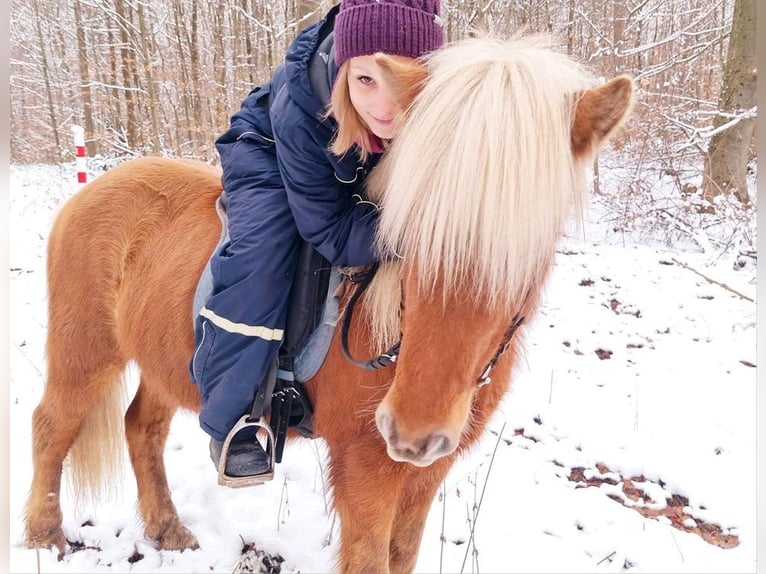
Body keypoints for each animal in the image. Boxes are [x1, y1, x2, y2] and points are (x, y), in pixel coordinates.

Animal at [24, 34, 633, 573]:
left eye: (531, 249)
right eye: (408, 234)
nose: (411, 432)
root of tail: (89, 190)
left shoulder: (426, 473)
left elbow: (401, 556)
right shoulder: (365, 469)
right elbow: (369, 560)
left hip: (166, 361)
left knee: (141, 427)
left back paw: (167, 529)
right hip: (86, 350)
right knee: (52, 425)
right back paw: (43, 535)